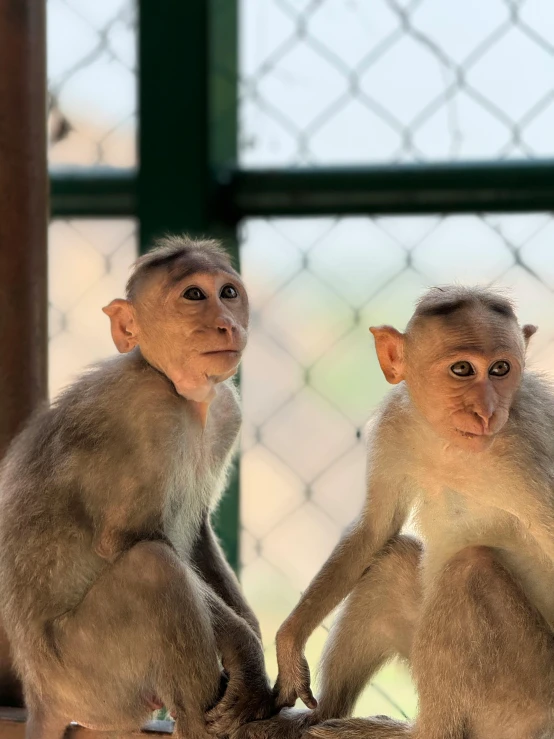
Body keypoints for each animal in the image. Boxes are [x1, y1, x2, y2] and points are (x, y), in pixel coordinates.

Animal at [0, 236, 274, 739]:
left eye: (228, 293)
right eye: (193, 296)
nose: (226, 324)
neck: (182, 393)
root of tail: (40, 694)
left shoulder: (227, 412)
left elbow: (198, 534)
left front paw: (258, 645)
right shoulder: (150, 413)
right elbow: (125, 539)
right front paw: (246, 652)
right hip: (87, 676)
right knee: (153, 570)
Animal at [238, 288, 554, 739]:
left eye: (500, 369)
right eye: (462, 369)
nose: (487, 410)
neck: (449, 443)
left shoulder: (523, 453)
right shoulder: (396, 424)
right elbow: (376, 529)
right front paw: (289, 641)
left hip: (526, 695)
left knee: (468, 569)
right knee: (393, 563)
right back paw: (319, 716)